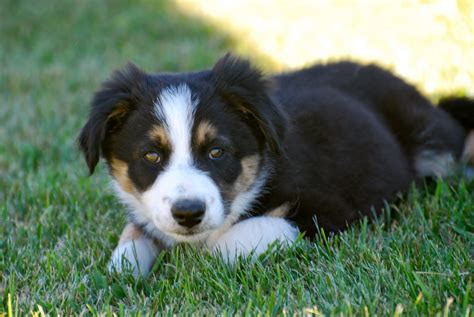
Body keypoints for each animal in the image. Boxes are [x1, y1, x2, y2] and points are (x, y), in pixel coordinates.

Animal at [78, 53, 474, 274]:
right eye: (151, 155)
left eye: (217, 151)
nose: (188, 213)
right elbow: (132, 237)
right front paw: (124, 267)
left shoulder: (331, 211)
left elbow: (231, 241)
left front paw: (194, 260)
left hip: (432, 140)